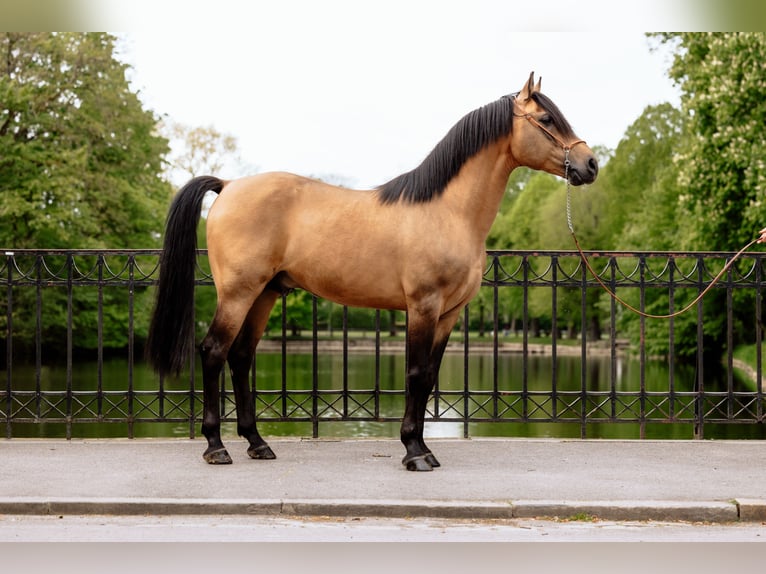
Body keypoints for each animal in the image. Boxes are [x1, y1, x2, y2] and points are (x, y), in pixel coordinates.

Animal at [146, 72, 600, 472]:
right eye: (547, 120)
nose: (590, 164)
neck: (448, 211)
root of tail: (228, 186)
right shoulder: (423, 306)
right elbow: (416, 374)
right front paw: (414, 452)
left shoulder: (449, 314)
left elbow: (429, 377)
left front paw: (423, 448)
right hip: (238, 292)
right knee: (214, 352)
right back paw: (216, 447)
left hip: (265, 293)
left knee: (240, 357)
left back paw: (257, 443)